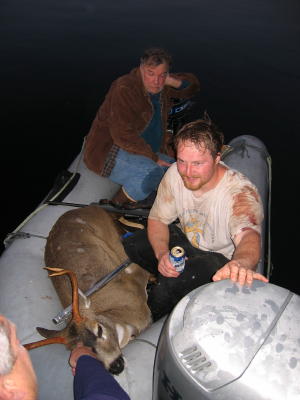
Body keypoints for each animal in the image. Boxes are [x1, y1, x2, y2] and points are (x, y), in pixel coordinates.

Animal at [23, 203, 151, 376]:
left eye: (99, 329)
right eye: (80, 349)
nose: (116, 366)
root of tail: (88, 207)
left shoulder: (136, 273)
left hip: (115, 239)